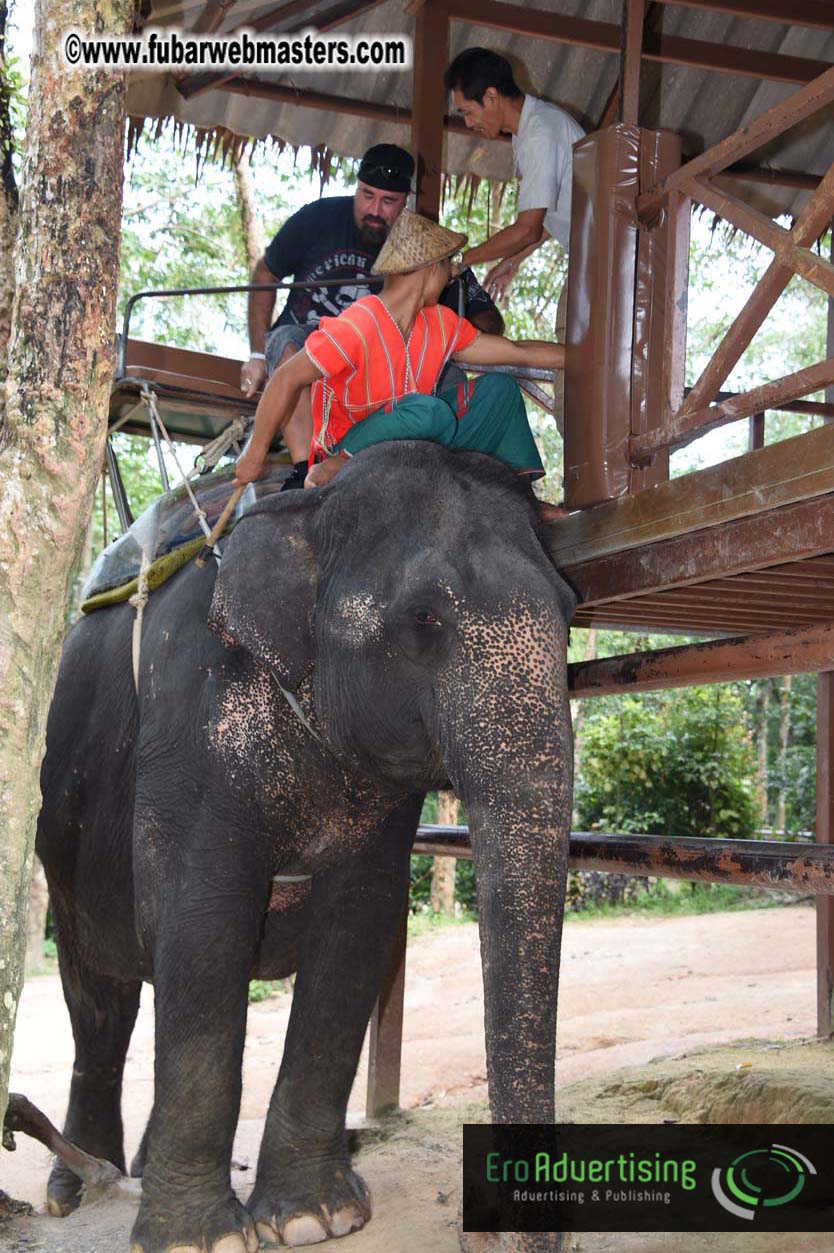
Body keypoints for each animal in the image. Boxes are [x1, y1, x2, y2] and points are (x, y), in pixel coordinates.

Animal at [35, 439, 576, 1253]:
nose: (490, 1233)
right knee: (99, 998)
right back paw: (79, 1189)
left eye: (572, 613)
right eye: (424, 618)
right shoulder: (188, 730)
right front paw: (203, 1239)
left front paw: (316, 1217)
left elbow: (356, 927)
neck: (309, 511)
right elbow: (203, 927)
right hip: (62, 843)